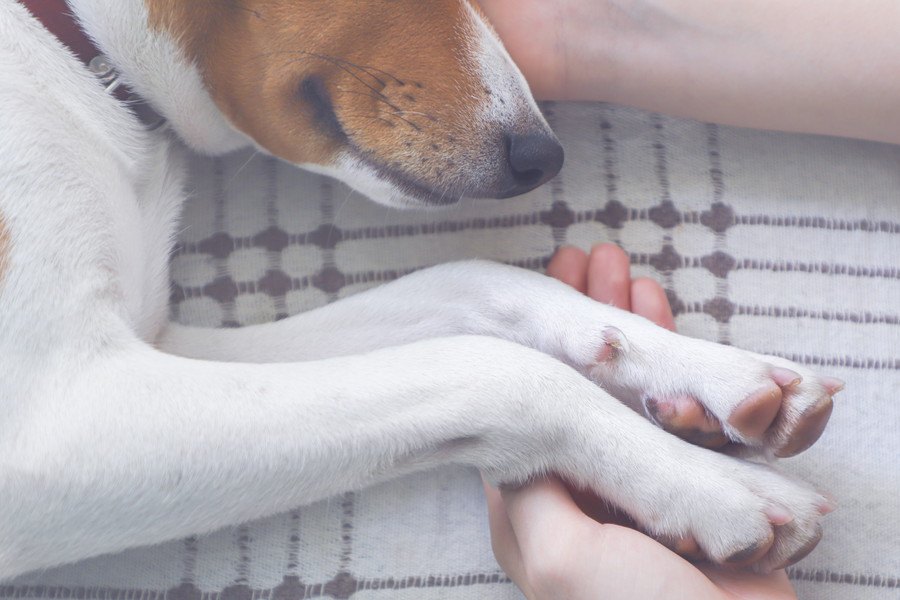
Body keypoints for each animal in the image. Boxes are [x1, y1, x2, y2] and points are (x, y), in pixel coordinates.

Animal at [1, 0, 844, 580]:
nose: (542, 156)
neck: (76, 54)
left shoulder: (151, 343)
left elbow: (471, 281)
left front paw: (709, 375)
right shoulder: (55, 420)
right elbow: (495, 370)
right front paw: (713, 486)